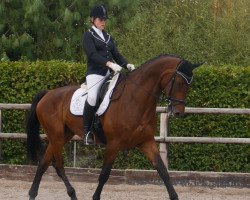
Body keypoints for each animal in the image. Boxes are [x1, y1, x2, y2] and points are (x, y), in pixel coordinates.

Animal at [26, 54, 202, 200]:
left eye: (189, 85)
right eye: (179, 82)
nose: (178, 112)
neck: (135, 99)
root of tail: (48, 94)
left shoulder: (146, 142)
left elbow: (163, 171)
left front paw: (174, 196)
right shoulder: (113, 144)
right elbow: (104, 174)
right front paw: (95, 197)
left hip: (62, 136)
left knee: (43, 164)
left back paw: (33, 194)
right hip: (56, 136)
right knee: (58, 165)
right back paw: (71, 193)